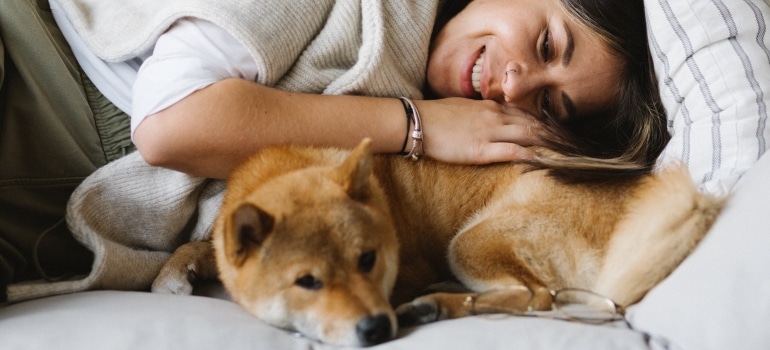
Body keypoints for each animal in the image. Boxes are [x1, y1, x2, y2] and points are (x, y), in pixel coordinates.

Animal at [152, 139, 720, 348]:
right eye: (307, 282)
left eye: (368, 261)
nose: (377, 327)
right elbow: (198, 246)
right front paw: (174, 276)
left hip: (471, 241)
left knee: (535, 298)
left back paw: (436, 303)